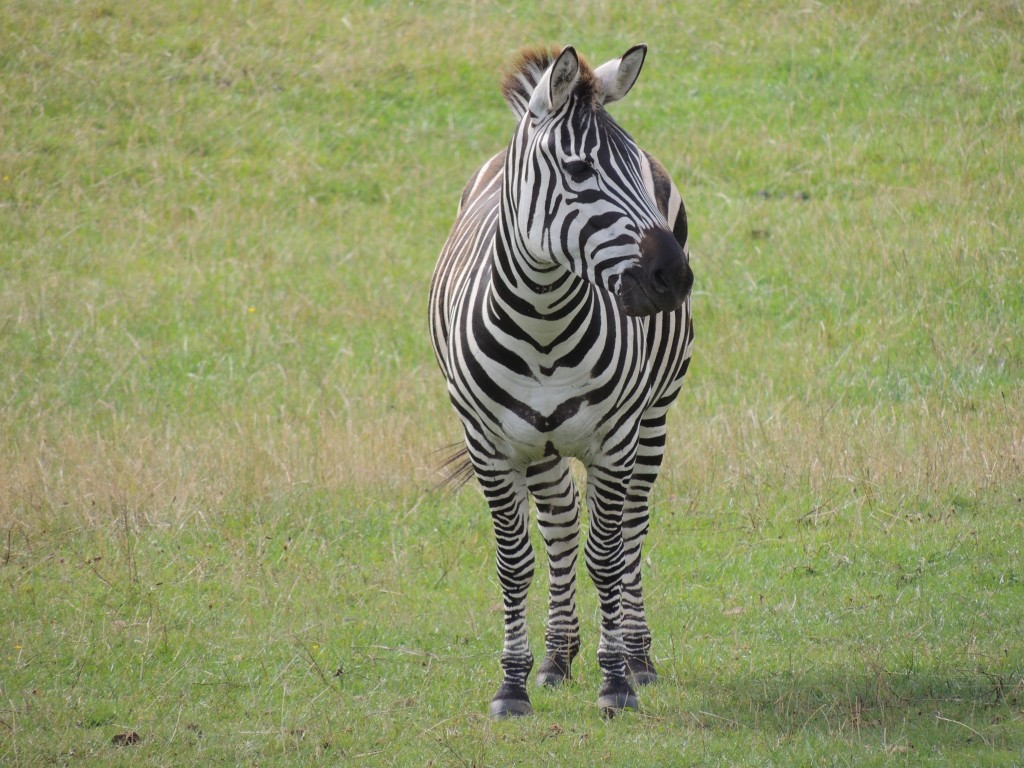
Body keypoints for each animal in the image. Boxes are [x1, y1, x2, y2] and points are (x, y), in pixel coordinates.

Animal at [428, 45, 692, 720]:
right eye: (578, 170)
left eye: (633, 168)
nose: (675, 278)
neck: (543, 319)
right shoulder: (489, 447)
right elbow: (516, 562)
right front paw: (512, 685)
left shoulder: (615, 441)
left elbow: (607, 555)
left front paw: (616, 681)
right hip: (542, 445)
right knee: (562, 526)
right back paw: (556, 656)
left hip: (655, 414)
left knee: (630, 529)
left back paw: (638, 655)